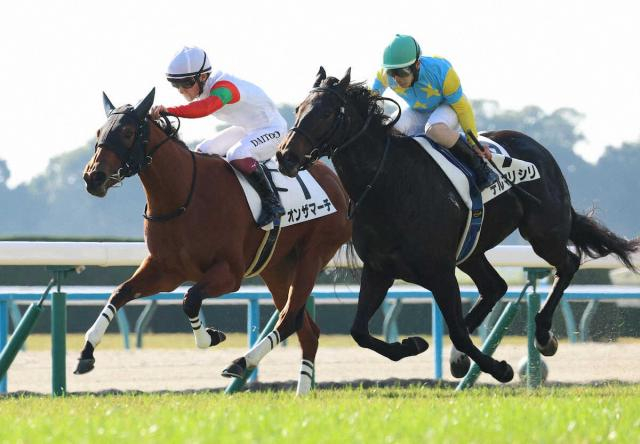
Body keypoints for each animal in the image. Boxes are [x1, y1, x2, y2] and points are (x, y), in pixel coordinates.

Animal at [77, 88, 352, 394]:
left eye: (126, 132)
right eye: (99, 131)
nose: (93, 177)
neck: (183, 195)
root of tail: (337, 184)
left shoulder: (229, 274)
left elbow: (190, 300)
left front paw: (212, 336)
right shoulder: (165, 270)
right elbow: (119, 293)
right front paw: (86, 352)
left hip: (312, 256)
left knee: (291, 318)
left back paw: (241, 363)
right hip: (277, 268)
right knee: (307, 329)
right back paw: (300, 394)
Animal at [276, 67, 640, 383]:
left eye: (326, 113)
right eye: (298, 109)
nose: (285, 156)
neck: (388, 183)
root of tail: (538, 147)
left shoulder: (440, 271)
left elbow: (459, 333)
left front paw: (501, 369)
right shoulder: (379, 269)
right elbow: (360, 332)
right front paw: (413, 344)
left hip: (543, 232)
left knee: (568, 263)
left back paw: (542, 334)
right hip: (472, 251)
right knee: (495, 287)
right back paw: (464, 354)